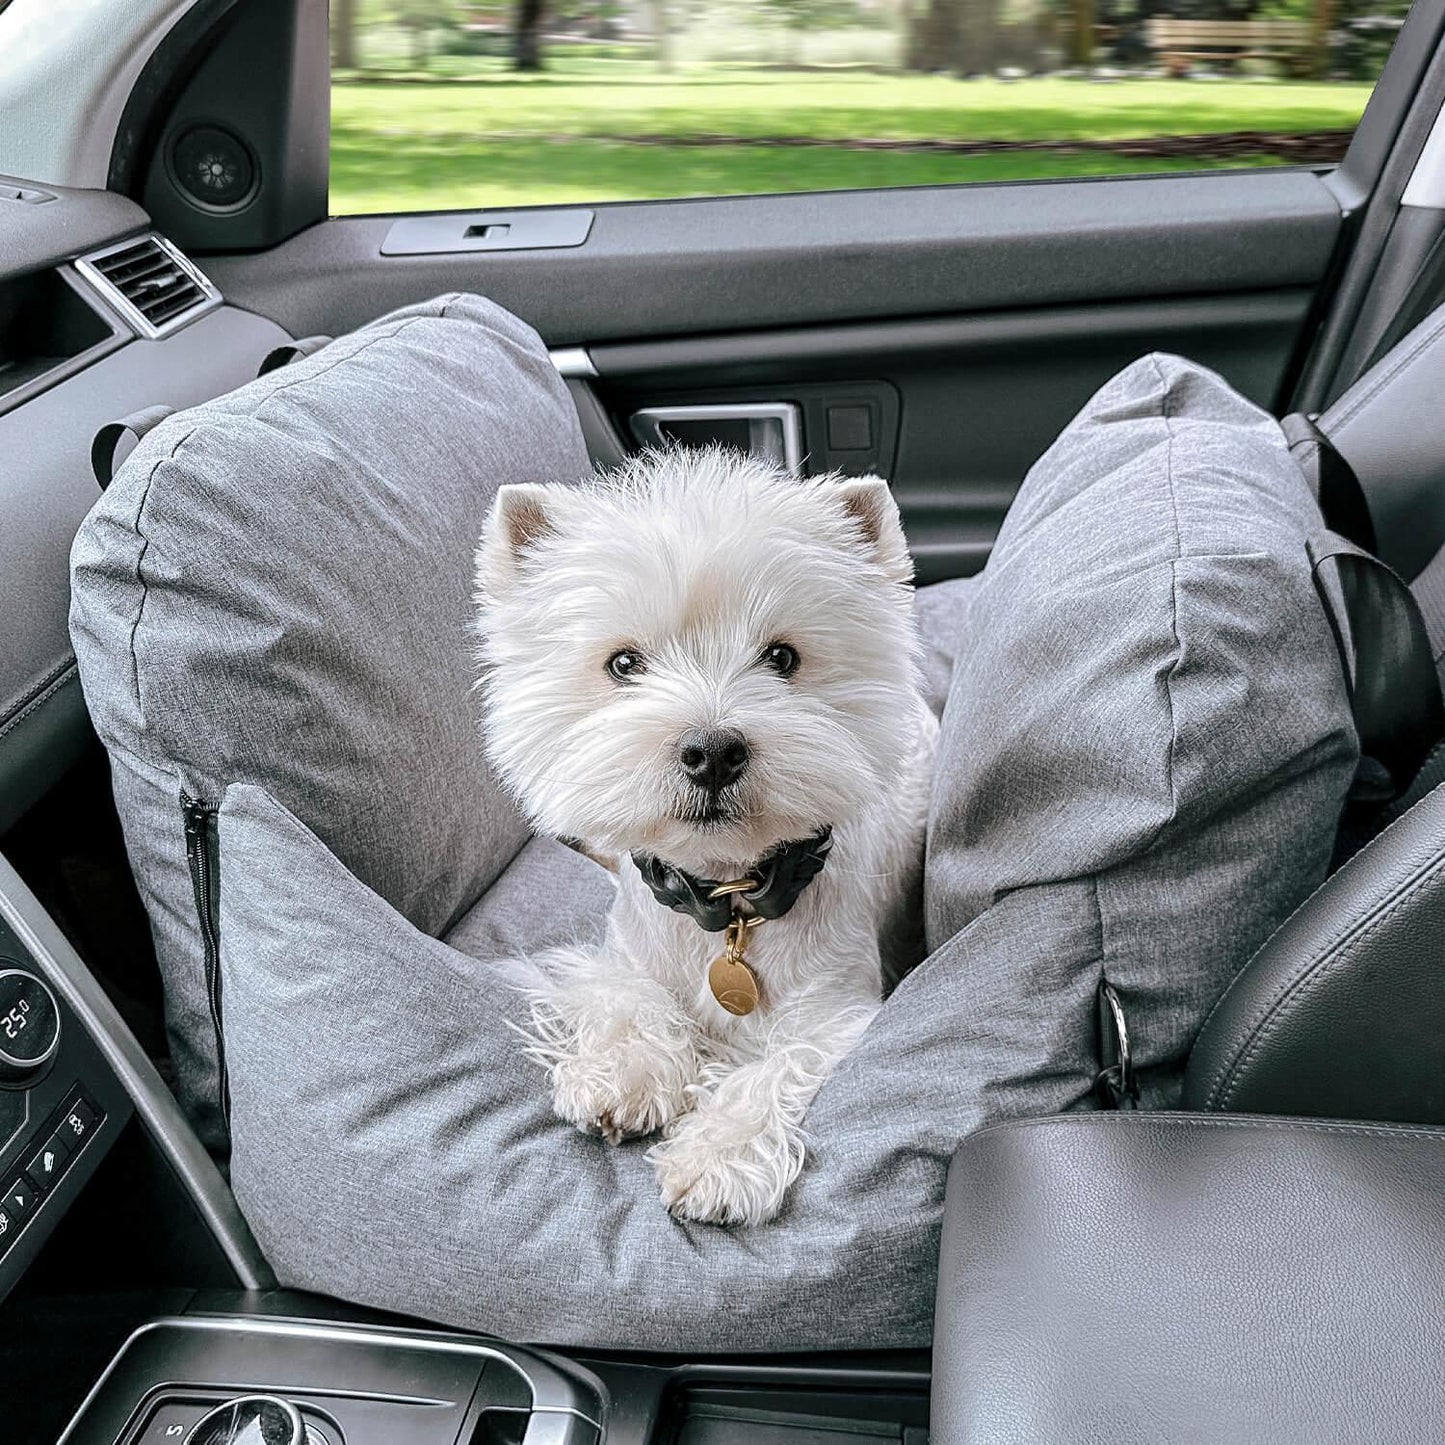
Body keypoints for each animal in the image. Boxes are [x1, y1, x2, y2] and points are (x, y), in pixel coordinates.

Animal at [473, 445, 936, 1225]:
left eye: (783, 658)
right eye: (622, 663)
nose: (711, 751)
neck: (727, 897)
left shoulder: (839, 1008)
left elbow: (778, 1065)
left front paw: (718, 1157)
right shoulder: (623, 950)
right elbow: (628, 996)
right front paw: (622, 1076)